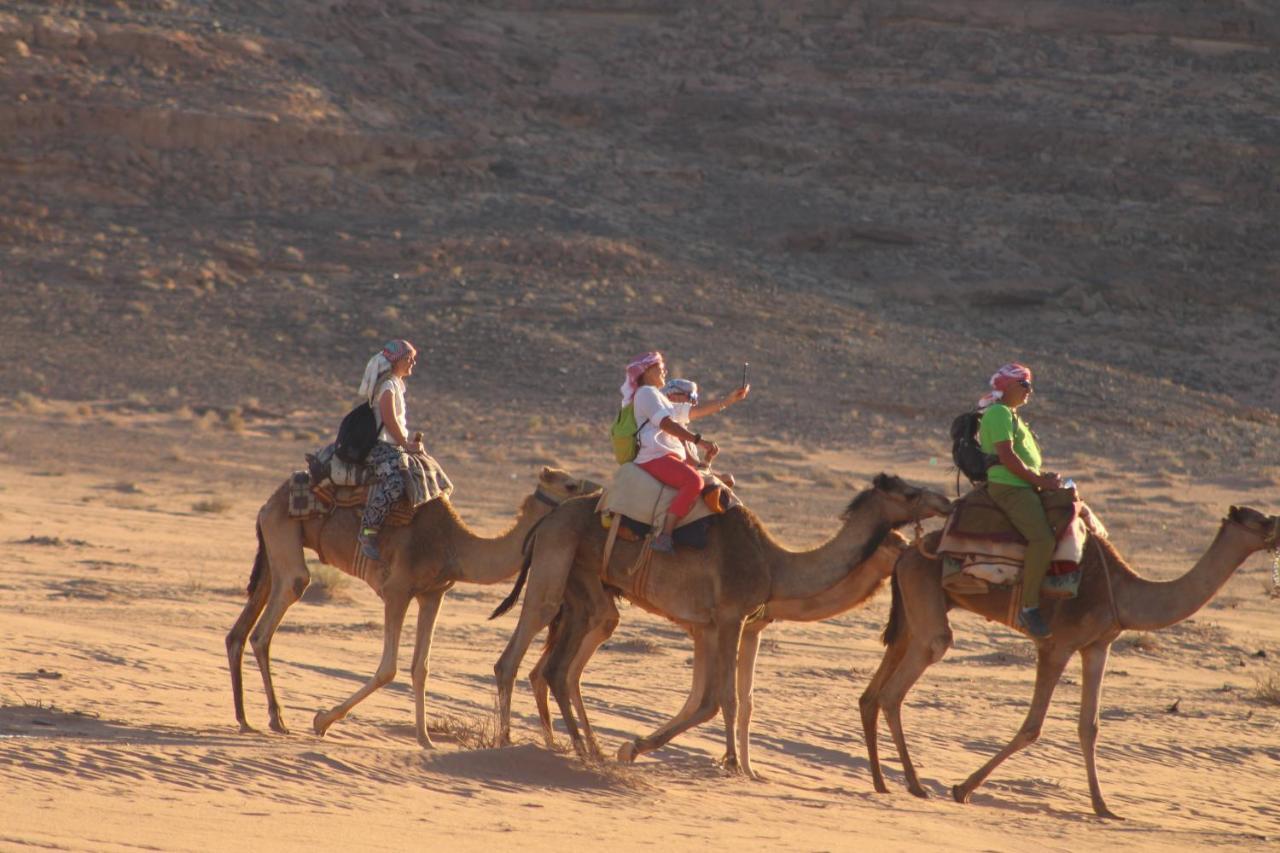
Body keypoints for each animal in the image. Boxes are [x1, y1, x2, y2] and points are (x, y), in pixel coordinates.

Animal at [226, 466, 588, 742]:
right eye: (570, 484)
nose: (593, 499)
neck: (455, 545)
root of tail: (268, 502)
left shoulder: (433, 594)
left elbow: (421, 667)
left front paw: (425, 739)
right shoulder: (397, 590)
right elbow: (389, 667)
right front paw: (322, 721)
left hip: (274, 546)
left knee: (242, 628)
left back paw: (246, 718)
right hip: (284, 535)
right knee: (275, 612)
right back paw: (276, 720)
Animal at [524, 527, 916, 758]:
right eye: (897, 542)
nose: (915, 551)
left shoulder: (737, 628)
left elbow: (735, 700)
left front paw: (749, 769)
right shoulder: (724, 627)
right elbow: (723, 698)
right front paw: (736, 764)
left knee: (550, 669)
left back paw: (568, 741)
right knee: (558, 668)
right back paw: (577, 744)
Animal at [860, 502, 1280, 814]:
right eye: (1261, 518)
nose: (1277, 525)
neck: (1124, 594)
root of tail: (906, 552)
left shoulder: (1097, 646)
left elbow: (1089, 726)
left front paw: (1103, 807)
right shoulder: (1056, 645)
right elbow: (1032, 726)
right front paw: (963, 788)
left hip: (913, 605)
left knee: (876, 687)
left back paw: (881, 782)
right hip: (926, 598)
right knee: (908, 675)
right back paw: (915, 785)